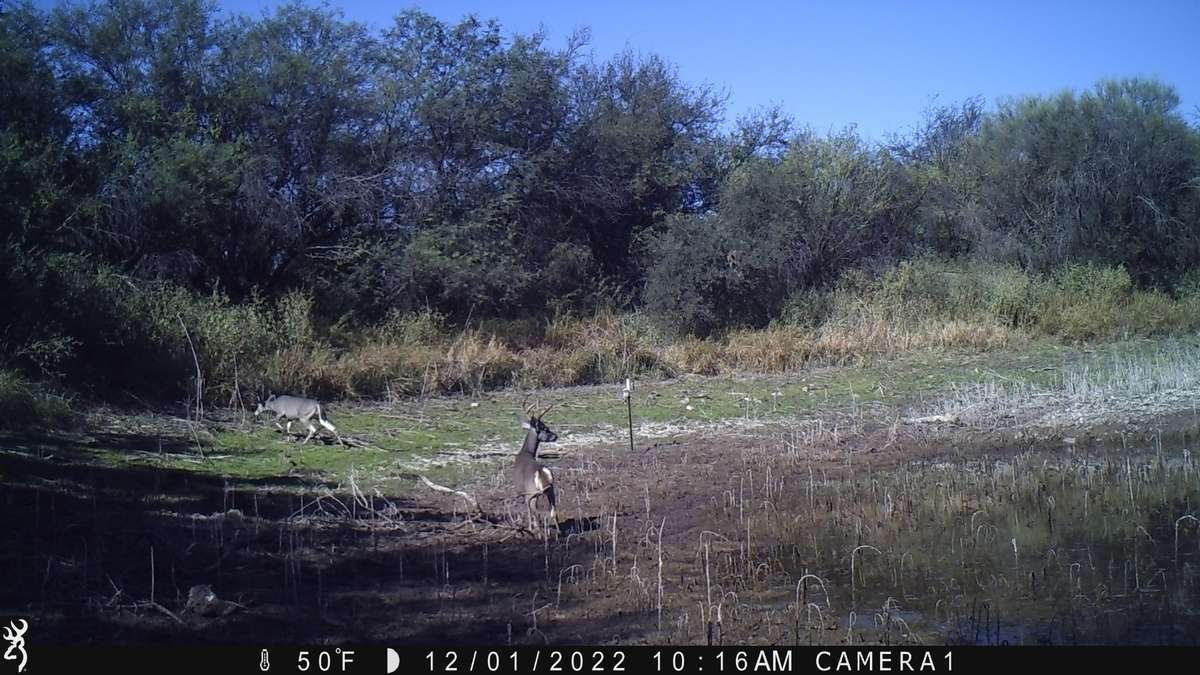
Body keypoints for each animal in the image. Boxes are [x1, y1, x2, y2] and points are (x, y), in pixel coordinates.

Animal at [514, 401, 559, 530]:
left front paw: (528, 526)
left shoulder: (520, 491)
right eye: (545, 428)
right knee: (554, 512)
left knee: (536, 512)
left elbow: (527, 510)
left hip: (532, 492)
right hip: (551, 490)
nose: (555, 436)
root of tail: (541, 472)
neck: (526, 452)